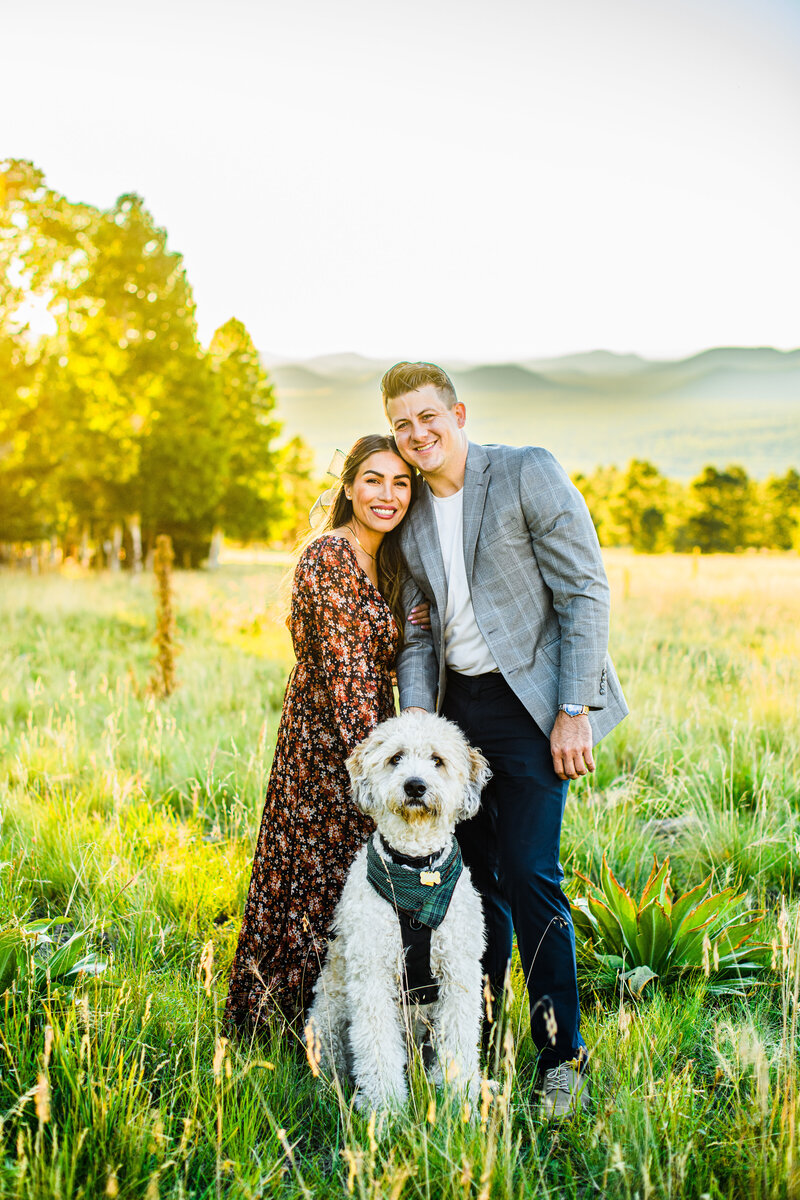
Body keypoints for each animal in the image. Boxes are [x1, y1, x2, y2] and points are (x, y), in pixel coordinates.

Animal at [309, 710, 491, 1113]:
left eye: (437, 760)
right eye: (396, 758)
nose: (415, 786)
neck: (416, 873)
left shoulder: (458, 974)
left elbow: (459, 1043)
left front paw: (460, 1103)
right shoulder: (372, 975)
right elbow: (377, 1049)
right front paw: (386, 1110)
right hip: (326, 1017)